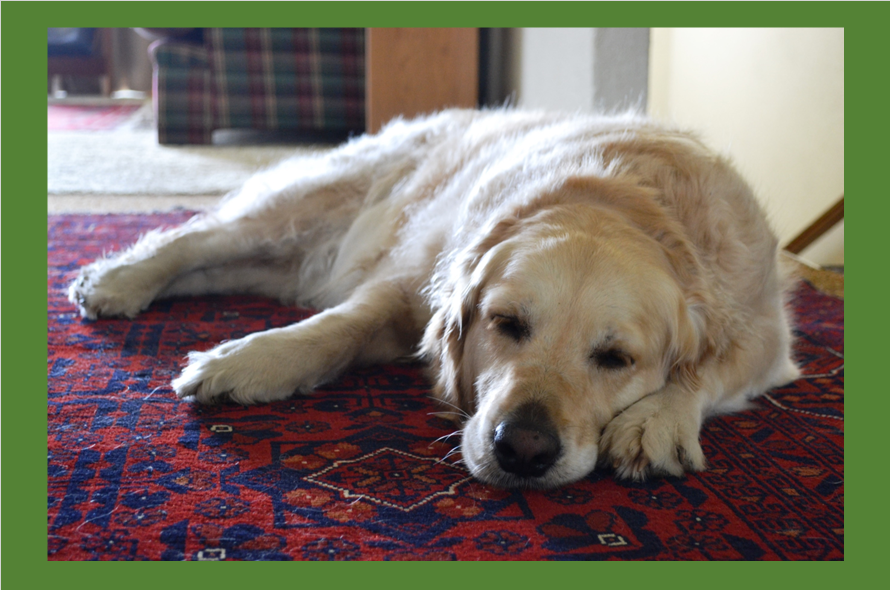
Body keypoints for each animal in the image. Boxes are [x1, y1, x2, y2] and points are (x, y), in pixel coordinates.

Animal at [69, 109, 800, 489]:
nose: (523, 450)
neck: (622, 194)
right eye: (506, 323)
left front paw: (659, 419)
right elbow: (341, 325)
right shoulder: (409, 280)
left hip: (280, 262)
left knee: (212, 266)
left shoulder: (766, 332)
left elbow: (714, 366)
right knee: (198, 237)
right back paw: (117, 280)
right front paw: (250, 358)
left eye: (616, 359)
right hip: (302, 208)